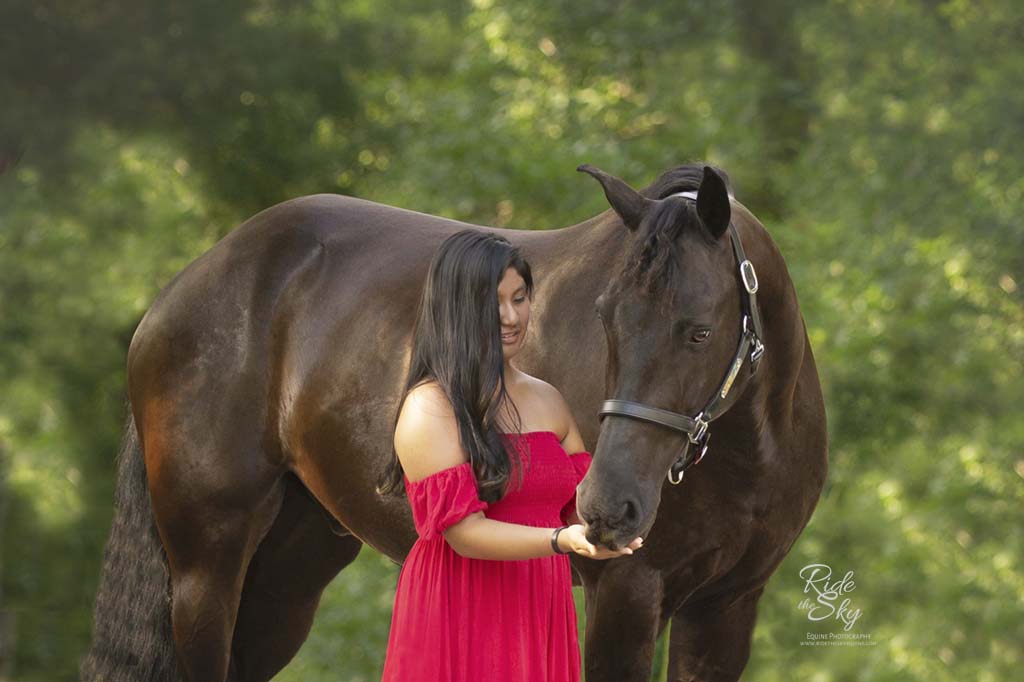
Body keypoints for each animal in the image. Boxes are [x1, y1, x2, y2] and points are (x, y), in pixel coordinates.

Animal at [83, 161, 827, 675]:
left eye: (698, 331)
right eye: (607, 317)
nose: (608, 506)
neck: (744, 455)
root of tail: (183, 289)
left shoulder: (726, 607)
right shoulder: (625, 596)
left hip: (290, 567)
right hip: (205, 569)